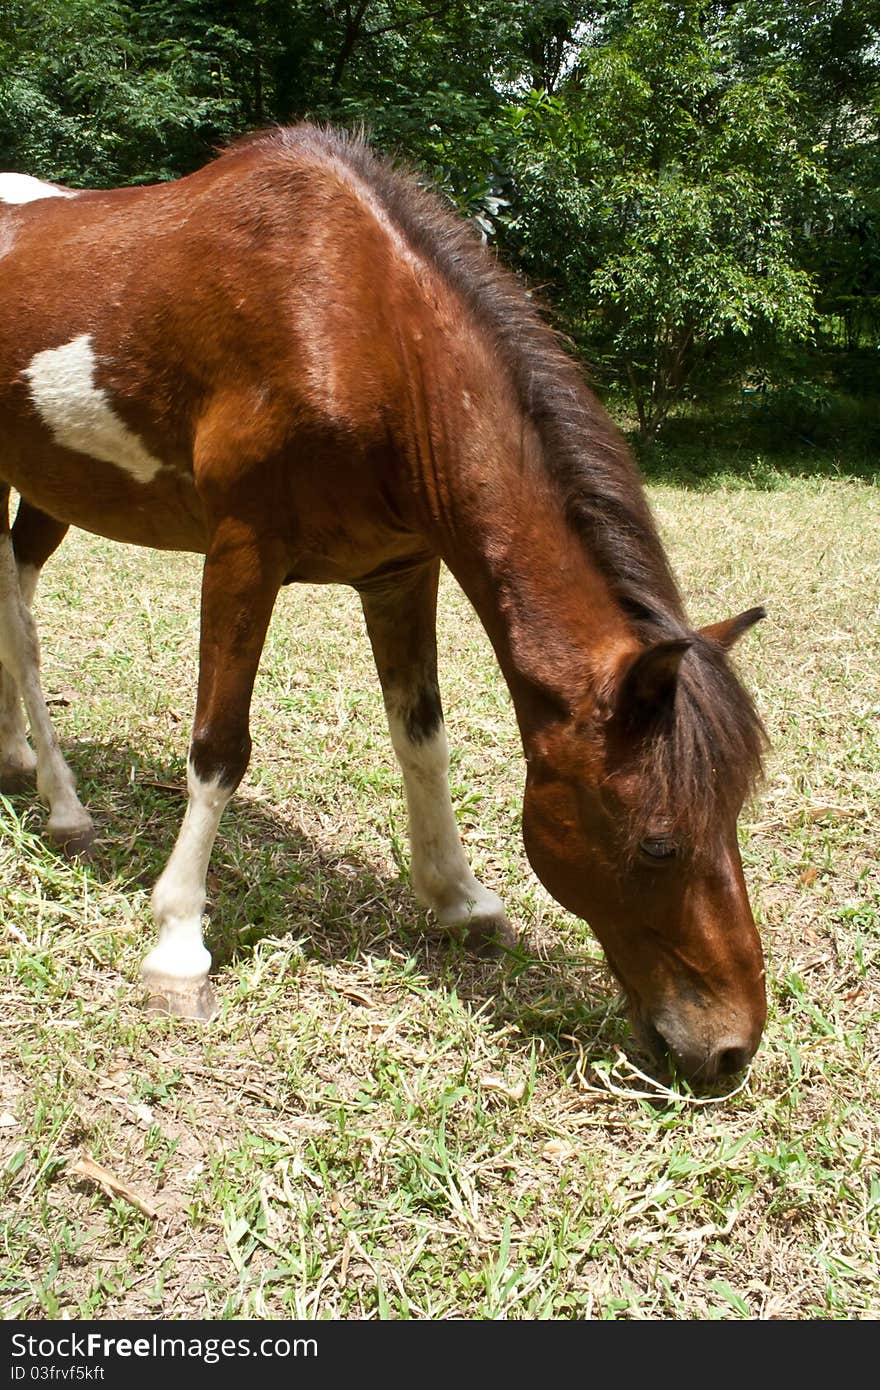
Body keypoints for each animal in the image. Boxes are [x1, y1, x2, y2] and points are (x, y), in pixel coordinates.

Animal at [0, 127, 767, 1084]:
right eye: (660, 842)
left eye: (733, 816)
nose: (733, 1048)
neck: (362, 328)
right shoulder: (243, 551)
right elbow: (219, 746)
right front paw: (179, 944)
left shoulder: (403, 570)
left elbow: (422, 735)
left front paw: (458, 896)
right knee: (24, 627)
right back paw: (64, 803)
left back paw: (19, 761)